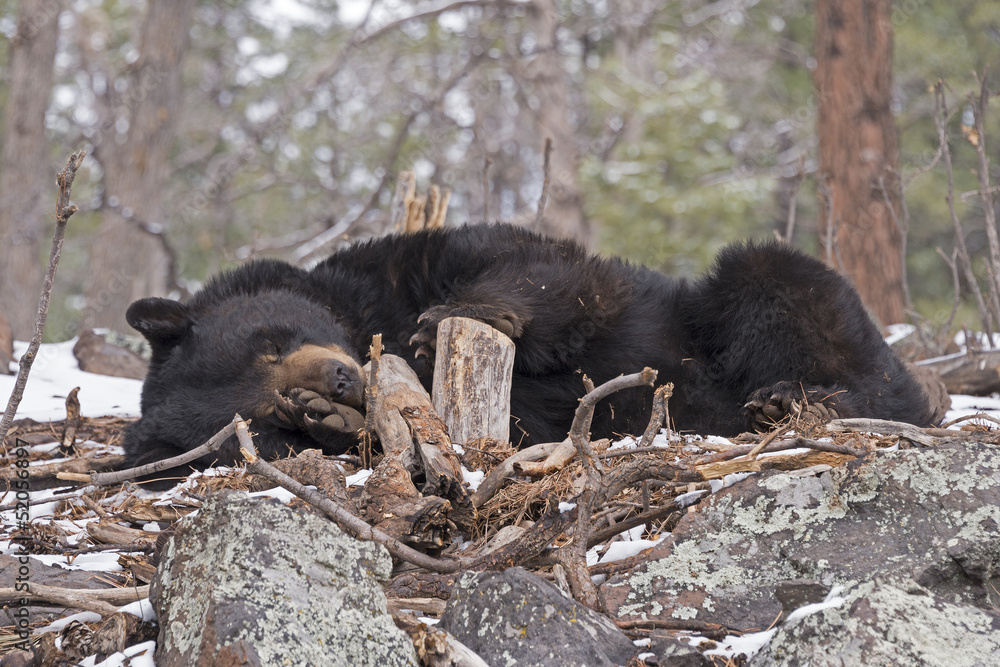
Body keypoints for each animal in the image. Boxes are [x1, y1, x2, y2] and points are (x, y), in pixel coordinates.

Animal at [122, 223, 935, 471]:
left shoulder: (403, 263)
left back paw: (795, 397)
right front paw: (342, 424)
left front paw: (451, 316)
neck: (363, 318)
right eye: (272, 419)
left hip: (747, 302)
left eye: (271, 338)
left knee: (772, 282)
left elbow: (546, 269)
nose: (341, 382)